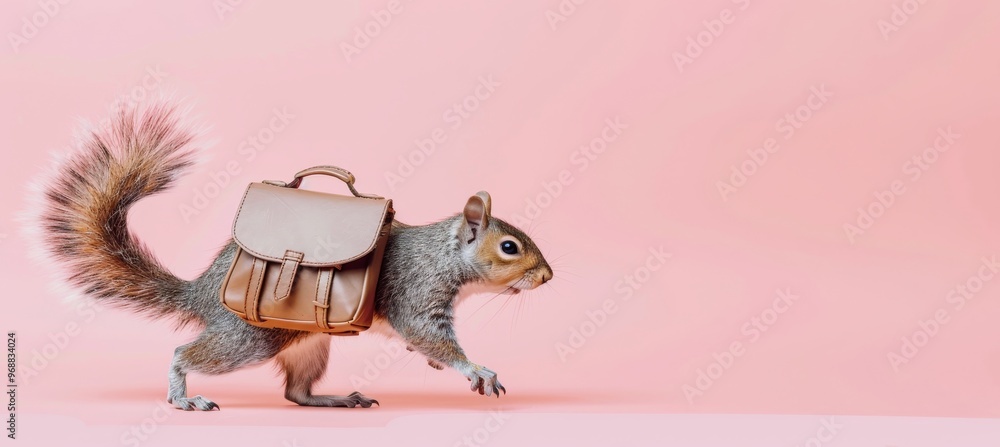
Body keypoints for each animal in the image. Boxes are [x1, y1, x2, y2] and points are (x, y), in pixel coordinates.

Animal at [31, 101, 553, 411]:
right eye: (509, 247)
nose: (547, 277)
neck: (446, 257)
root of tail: (200, 292)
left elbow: (425, 344)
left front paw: (435, 364)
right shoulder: (417, 289)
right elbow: (431, 337)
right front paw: (475, 369)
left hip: (310, 346)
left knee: (295, 393)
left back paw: (334, 400)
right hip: (251, 337)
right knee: (186, 354)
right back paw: (183, 396)